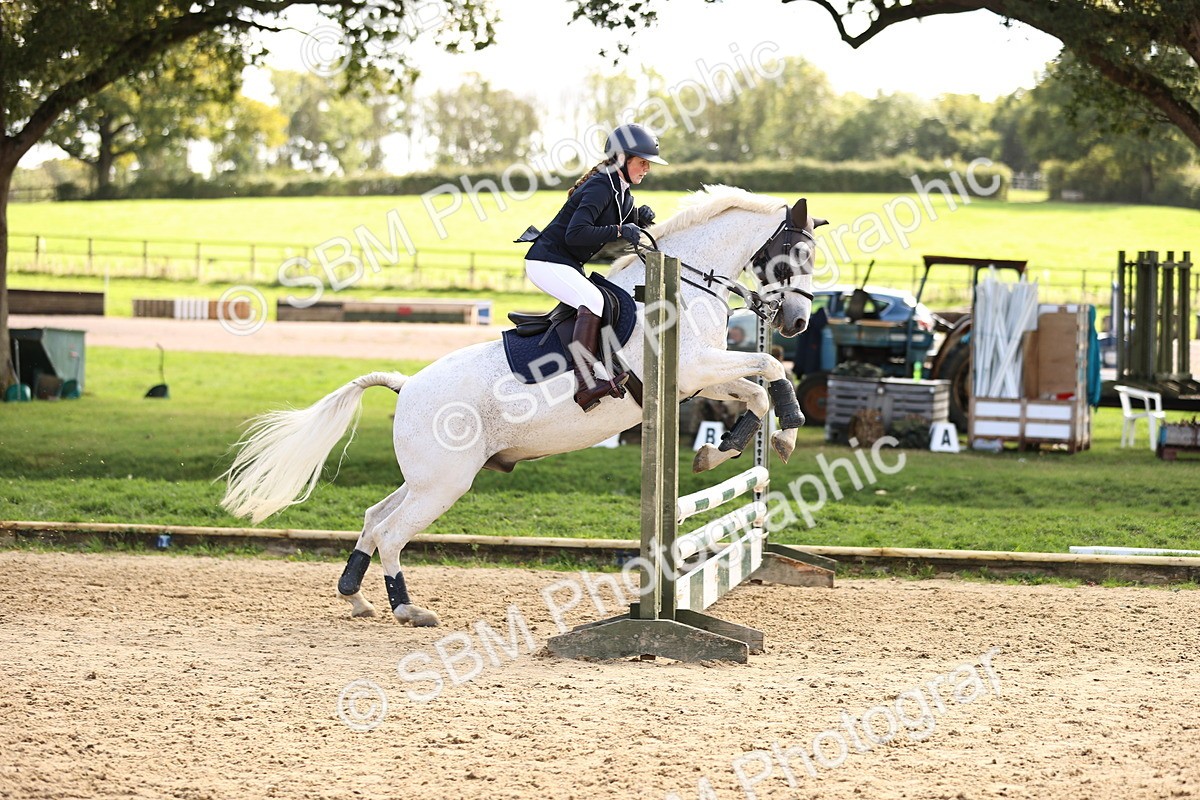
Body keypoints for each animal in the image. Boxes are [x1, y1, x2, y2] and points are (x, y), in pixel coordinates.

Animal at [220, 185, 825, 627]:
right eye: (792, 257)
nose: (796, 322)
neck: (688, 284)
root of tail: (406, 386)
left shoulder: (694, 383)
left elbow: (755, 389)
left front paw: (731, 448)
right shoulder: (694, 370)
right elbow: (769, 369)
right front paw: (790, 427)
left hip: (427, 478)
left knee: (374, 519)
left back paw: (354, 595)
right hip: (444, 484)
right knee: (392, 534)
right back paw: (408, 609)